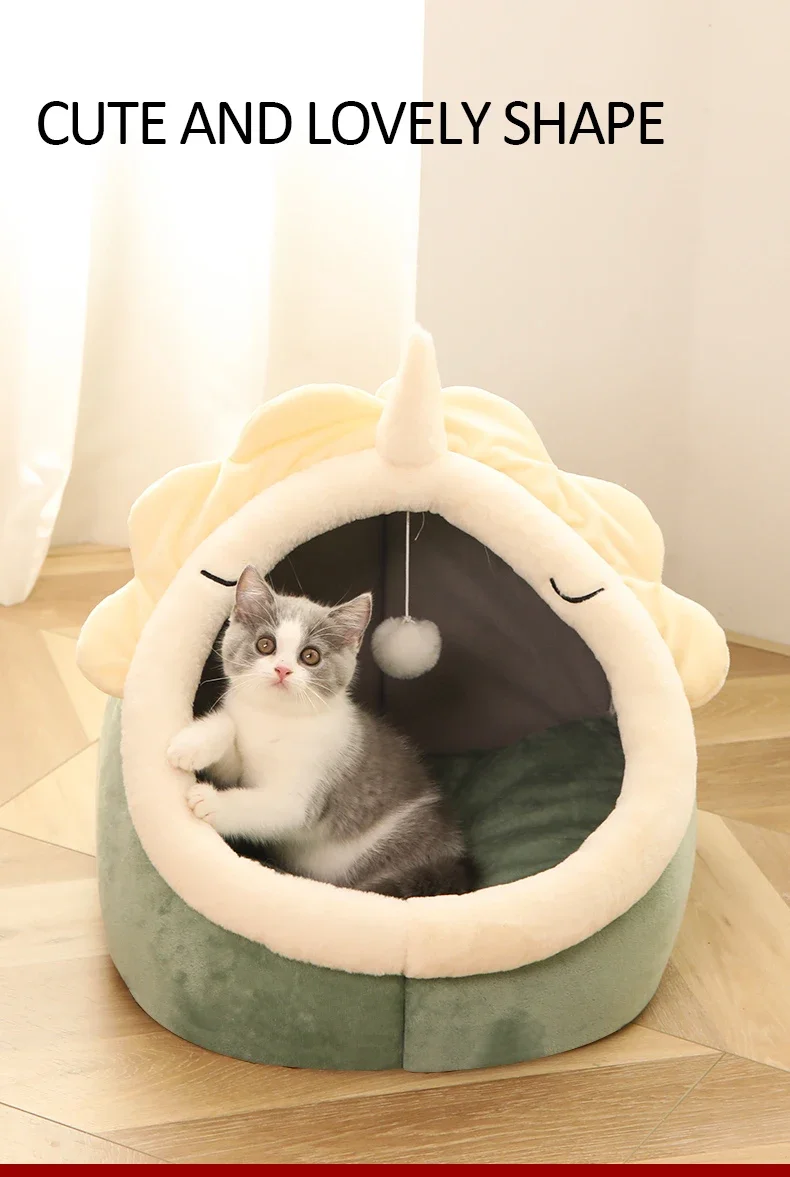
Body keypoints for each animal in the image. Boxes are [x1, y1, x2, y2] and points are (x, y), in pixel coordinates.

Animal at [166, 565, 475, 898]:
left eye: (310, 656)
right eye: (265, 644)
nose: (282, 670)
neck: (275, 718)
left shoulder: (307, 788)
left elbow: (276, 807)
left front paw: (210, 802)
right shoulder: (239, 761)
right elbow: (229, 735)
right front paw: (191, 745)